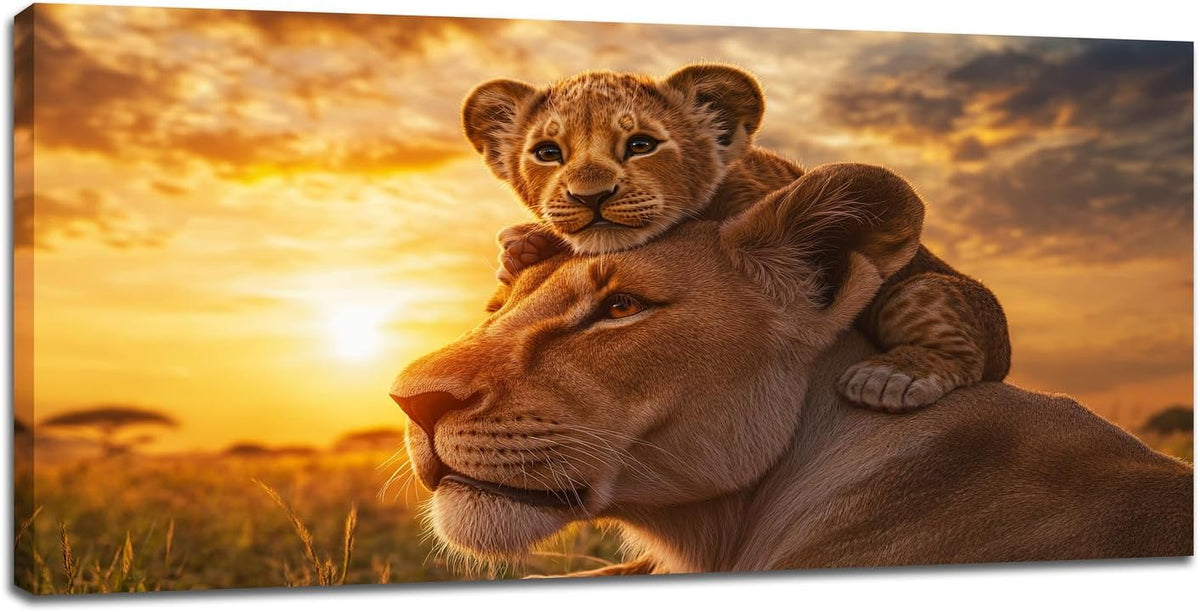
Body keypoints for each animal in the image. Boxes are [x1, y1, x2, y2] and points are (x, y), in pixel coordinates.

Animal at [461, 64, 1010, 413]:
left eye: (641, 144)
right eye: (547, 152)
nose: (590, 195)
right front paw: (523, 248)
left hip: (925, 290)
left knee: (958, 348)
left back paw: (892, 377)